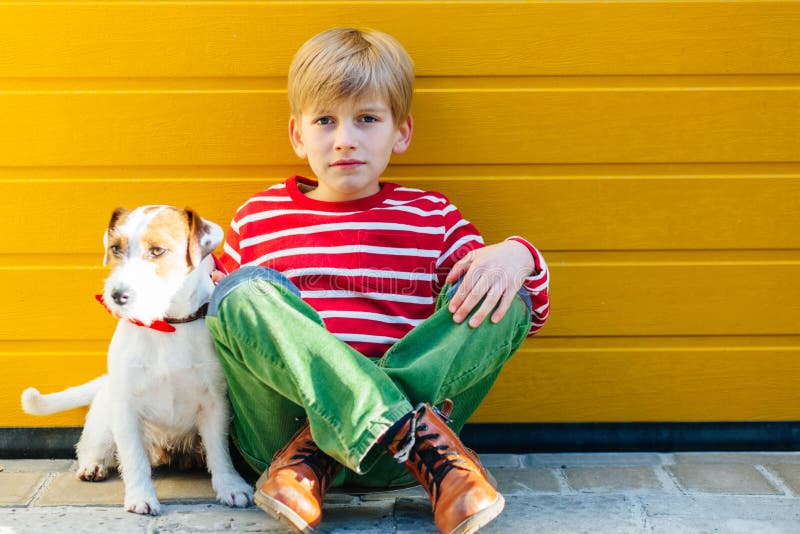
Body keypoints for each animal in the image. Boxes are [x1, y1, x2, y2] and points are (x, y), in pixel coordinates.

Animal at [21, 205, 253, 516]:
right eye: (115, 248)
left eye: (157, 250)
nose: (117, 295)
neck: (166, 325)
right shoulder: (126, 408)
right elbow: (134, 459)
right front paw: (141, 496)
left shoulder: (214, 403)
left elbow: (219, 452)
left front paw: (230, 486)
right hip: (104, 422)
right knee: (91, 447)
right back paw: (92, 466)